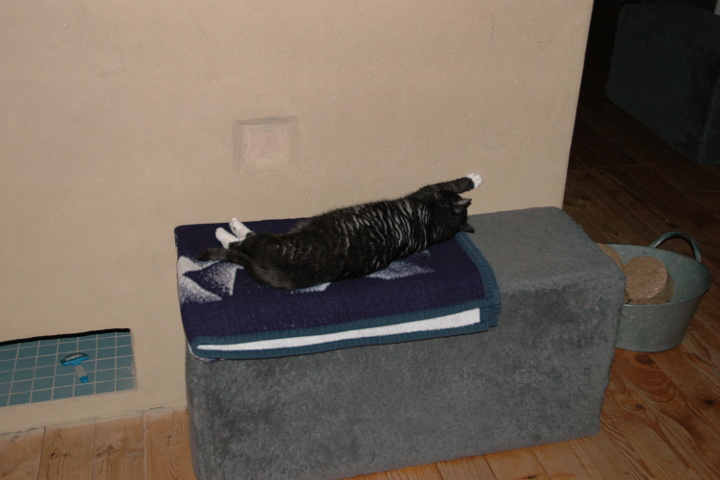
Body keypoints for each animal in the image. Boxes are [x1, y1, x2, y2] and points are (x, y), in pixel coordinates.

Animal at [197, 172, 480, 288]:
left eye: (450, 198)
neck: (431, 227)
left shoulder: (426, 191)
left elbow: (449, 181)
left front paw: (472, 179)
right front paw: (474, 180)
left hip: (272, 243)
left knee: (242, 243)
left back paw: (228, 229)